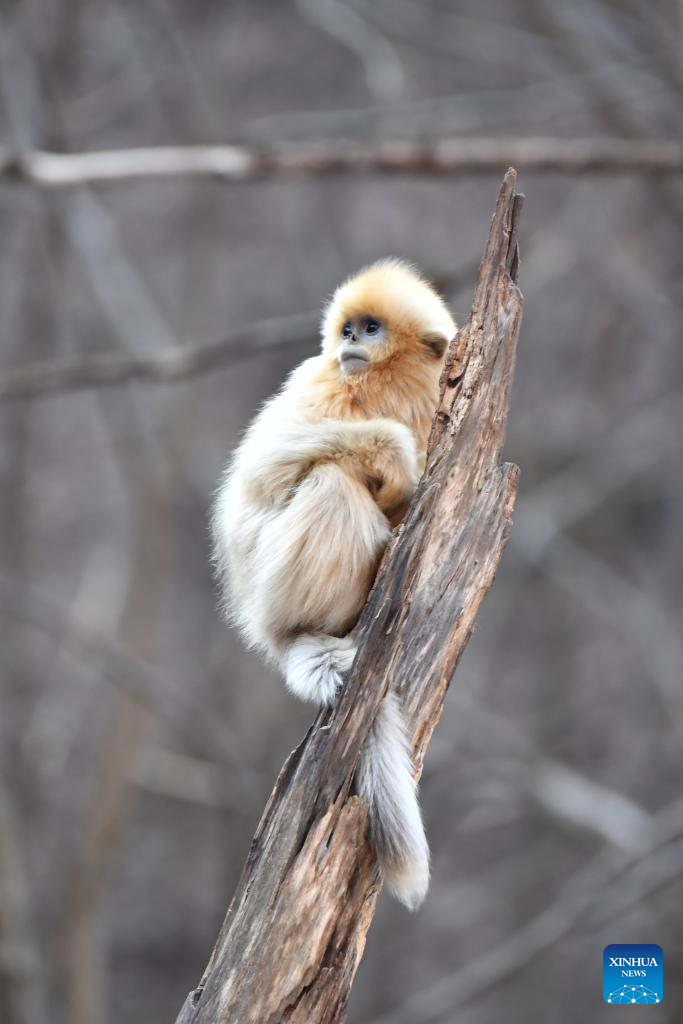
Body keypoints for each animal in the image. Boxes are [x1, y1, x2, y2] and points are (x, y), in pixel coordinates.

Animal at [211, 259, 456, 910]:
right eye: (349, 329)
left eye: (371, 328)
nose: (349, 343)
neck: (389, 383)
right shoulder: (320, 381)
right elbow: (261, 474)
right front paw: (399, 463)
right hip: (269, 589)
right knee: (329, 483)